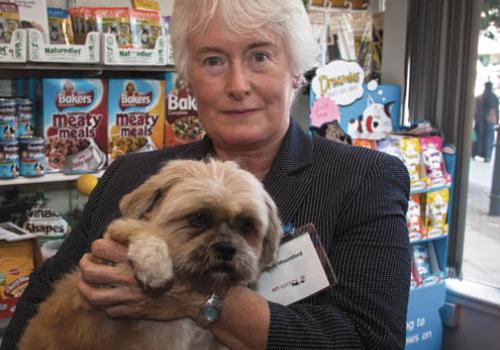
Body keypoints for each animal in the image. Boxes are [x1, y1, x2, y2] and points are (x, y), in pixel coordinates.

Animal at [18, 159, 282, 350]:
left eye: (247, 225)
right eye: (198, 218)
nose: (227, 248)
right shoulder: (91, 291)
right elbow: (139, 228)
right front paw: (155, 264)